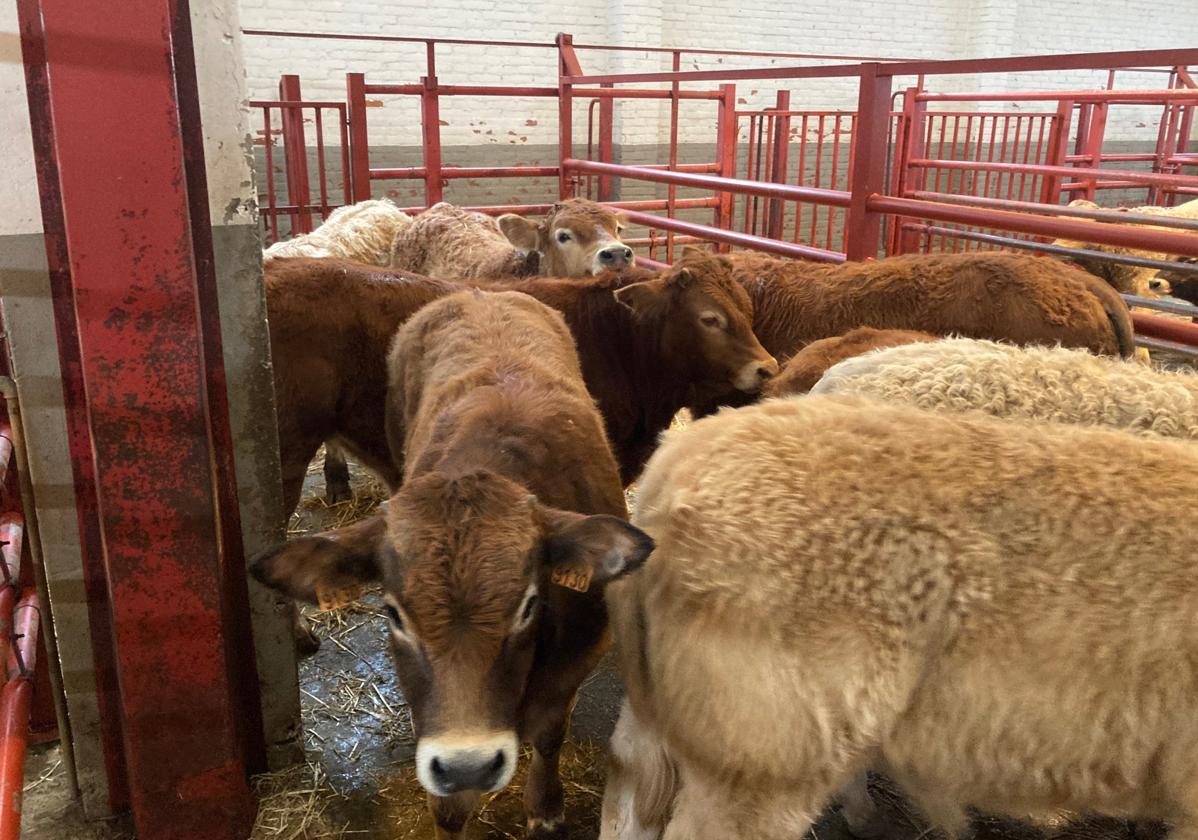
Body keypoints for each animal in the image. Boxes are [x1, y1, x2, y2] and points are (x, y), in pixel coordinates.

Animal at [250, 289, 656, 838]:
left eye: (529, 605)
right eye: (393, 614)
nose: (470, 764)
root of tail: (480, 292)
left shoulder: (576, 659)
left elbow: (550, 736)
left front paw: (545, 805)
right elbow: (447, 807)